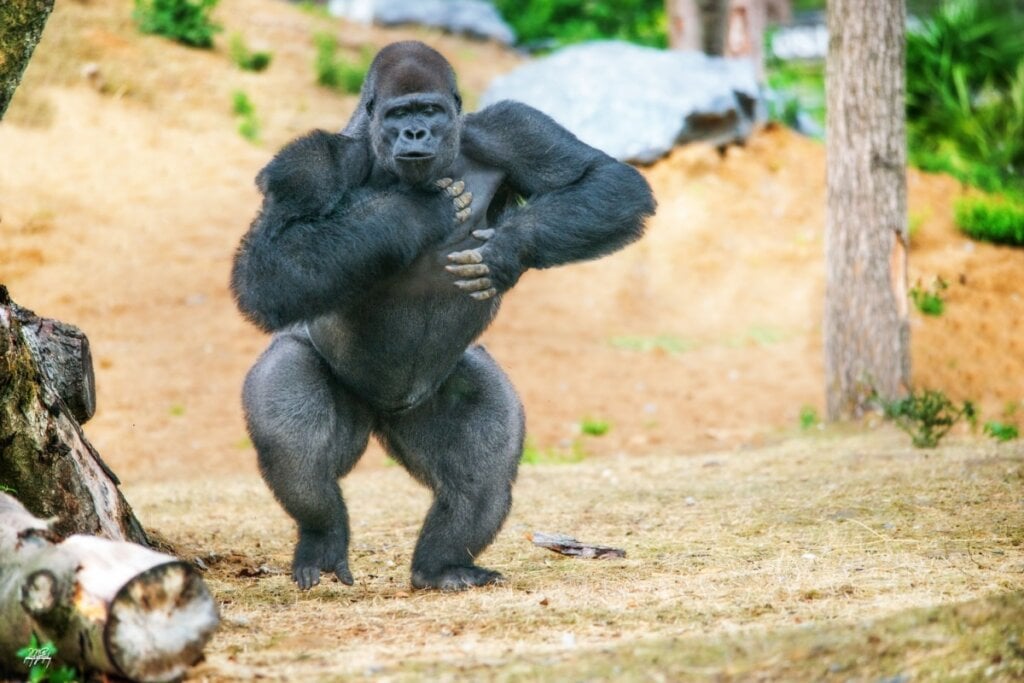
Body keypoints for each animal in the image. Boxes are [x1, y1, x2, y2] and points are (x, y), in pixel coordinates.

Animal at [230, 40, 655, 589]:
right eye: (399, 115)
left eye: (429, 111)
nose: (415, 134)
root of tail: (383, 411)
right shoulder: (312, 162)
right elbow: (270, 265)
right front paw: (411, 212)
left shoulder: (510, 127)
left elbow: (607, 181)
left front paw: (508, 250)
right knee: (301, 462)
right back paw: (322, 536)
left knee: (479, 479)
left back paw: (442, 566)